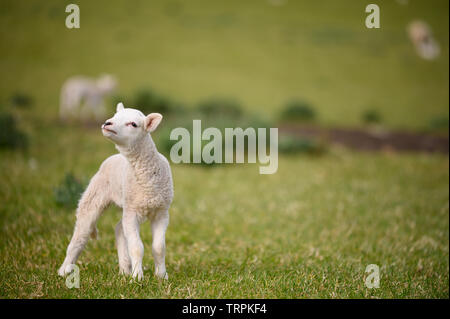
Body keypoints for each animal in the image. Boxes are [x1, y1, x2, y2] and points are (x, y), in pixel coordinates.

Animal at [58, 102, 174, 280]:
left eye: (133, 124)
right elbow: (137, 247)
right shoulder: (132, 211)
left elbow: (159, 247)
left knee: (119, 229)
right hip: (94, 197)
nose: (107, 123)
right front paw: (137, 277)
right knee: (81, 235)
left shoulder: (161, 212)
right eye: (114, 116)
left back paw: (124, 269)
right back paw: (64, 270)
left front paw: (161, 276)